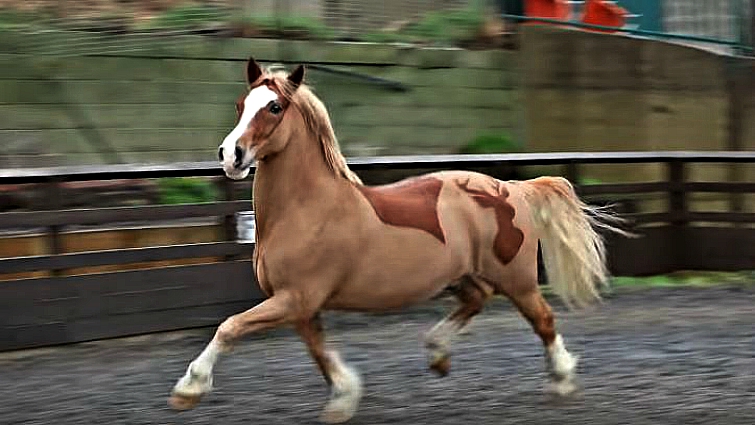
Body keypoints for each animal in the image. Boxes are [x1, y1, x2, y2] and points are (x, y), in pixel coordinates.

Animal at [168, 58, 628, 423]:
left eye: (274, 107)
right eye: (241, 105)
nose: (231, 155)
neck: (306, 209)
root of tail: (510, 188)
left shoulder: (295, 298)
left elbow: (229, 326)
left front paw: (188, 389)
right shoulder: (301, 306)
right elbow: (319, 352)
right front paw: (344, 399)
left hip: (517, 279)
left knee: (543, 320)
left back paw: (563, 380)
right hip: (462, 274)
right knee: (476, 300)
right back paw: (437, 353)